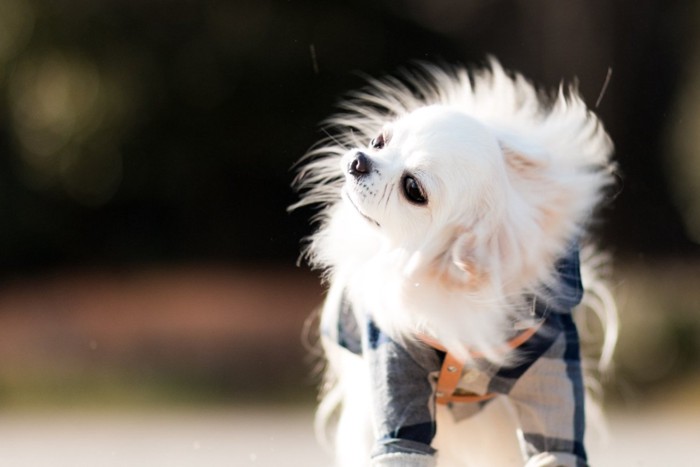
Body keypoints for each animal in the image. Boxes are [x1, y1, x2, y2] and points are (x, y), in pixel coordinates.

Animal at [292, 60, 616, 467]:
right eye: (379, 141)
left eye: (412, 189)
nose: (358, 160)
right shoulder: (395, 364)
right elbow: (401, 446)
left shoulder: (553, 370)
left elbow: (555, 448)